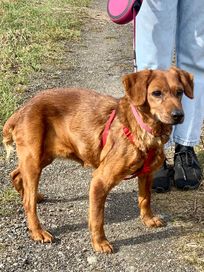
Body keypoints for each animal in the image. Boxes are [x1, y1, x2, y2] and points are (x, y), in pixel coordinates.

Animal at [2, 67, 193, 253]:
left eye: (180, 92)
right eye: (156, 93)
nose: (178, 115)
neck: (146, 130)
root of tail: (21, 109)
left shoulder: (146, 174)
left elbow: (145, 199)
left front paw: (148, 219)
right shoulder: (99, 181)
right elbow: (97, 218)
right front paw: (100, 243)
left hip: (44, 156)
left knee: (16, 175)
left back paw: (33, 195)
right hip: (34, 160)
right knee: (28, 202)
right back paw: (37, 230)